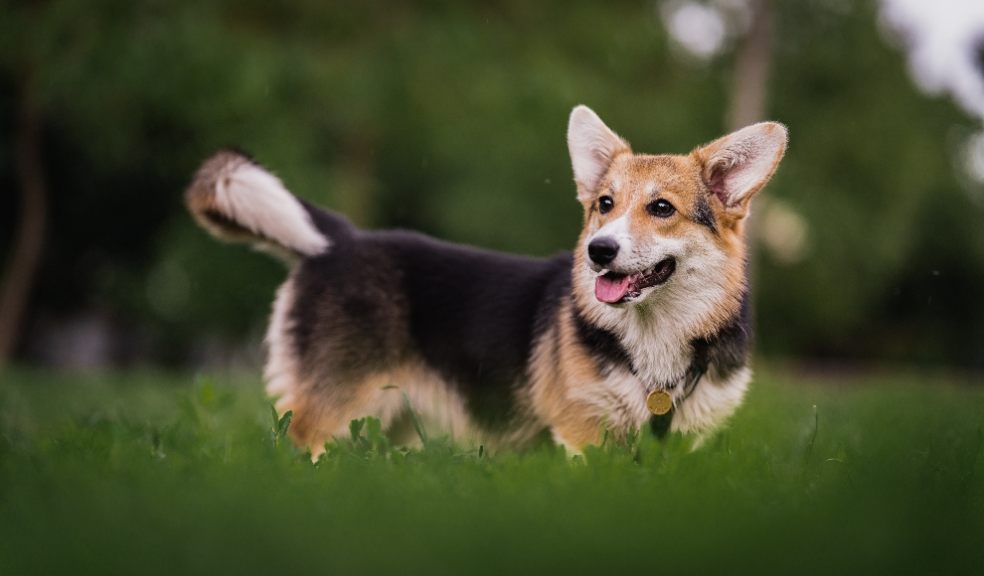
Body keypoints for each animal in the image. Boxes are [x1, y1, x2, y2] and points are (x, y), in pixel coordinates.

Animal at [184, 104, 788, 454]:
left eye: (661, 208)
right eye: (604, 205)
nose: (598, 251)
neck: (653, 339)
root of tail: (340, 237)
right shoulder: (583, 436)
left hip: (386, 421)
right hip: (333, 412)